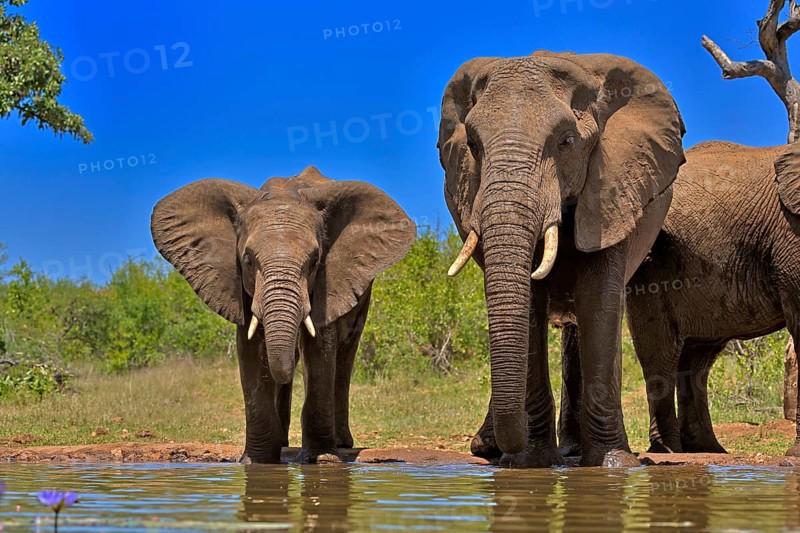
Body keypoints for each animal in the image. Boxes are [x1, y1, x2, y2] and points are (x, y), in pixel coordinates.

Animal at [150, 167, 416, 463]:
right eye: (248, 260)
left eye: (314, 262)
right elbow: (250, 350)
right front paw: (257, 461)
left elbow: (320, 348)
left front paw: (322, 459)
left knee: (346, 352)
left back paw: (341, 443)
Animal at [438, 50, 685, 467]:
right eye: (472, 144)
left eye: (567, 141)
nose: (510, 449)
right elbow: (529, 309)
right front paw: (528, 463)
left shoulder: (613, 188)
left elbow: (600, 304)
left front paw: (613, 463)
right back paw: (496, 448)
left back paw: (571, 449)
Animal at [560, 141, 800, 458]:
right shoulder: (792, 235)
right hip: (651, 269)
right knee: (662, 353)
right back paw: (669, 450)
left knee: (696, 359)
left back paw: (707, 449)